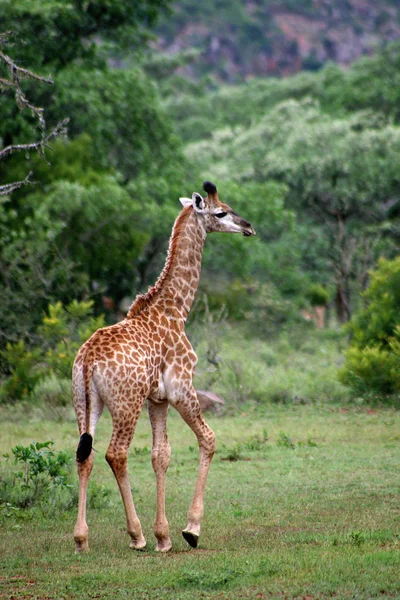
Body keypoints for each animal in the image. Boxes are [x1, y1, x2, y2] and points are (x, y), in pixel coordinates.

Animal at [72, 179, 255, 552]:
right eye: (221, 212)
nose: (248, 227)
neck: (176, 309)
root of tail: (88, 361)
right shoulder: (181, 388)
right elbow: (209, 439)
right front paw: (190, 529)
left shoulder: (156, 399)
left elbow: (161, 455)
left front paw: (164, 535)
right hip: (125, 404)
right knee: (116, 454)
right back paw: (136, 535)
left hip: (85, 403)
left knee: (86, 454)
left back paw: (81, 539)